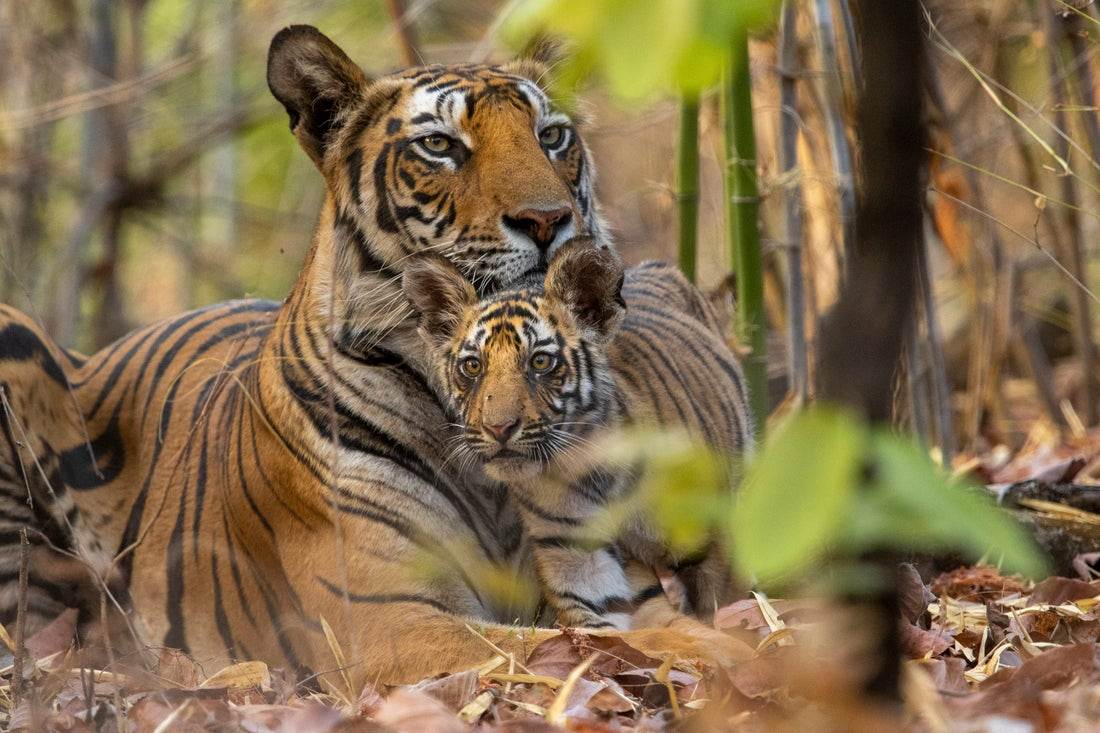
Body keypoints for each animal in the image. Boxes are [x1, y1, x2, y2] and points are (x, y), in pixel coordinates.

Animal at [403, 240, 754, 638]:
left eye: (540, 362)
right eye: (473, 366)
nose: (499, 428)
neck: (590, 466)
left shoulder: (715, 542)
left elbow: (722, 608)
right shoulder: (575, 553)